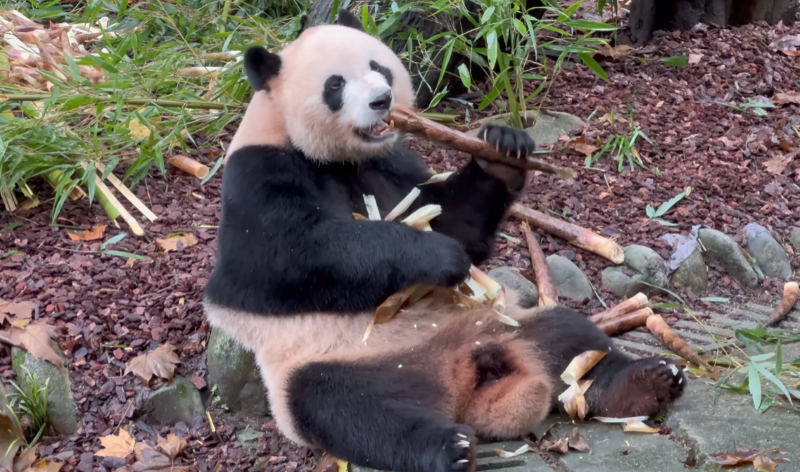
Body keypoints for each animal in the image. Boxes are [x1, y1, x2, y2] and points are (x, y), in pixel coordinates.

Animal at [203, 9, 685, 472]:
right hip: (341, 364)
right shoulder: (258, 174)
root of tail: (462, 382)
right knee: (350, 410)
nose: (382, 101)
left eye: (378, 67)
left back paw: (646, 382)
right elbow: (290, 259)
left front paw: (503, 150)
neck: (335, 156)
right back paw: (447, 447)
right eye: (335, 85)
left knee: (570, 338)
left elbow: (453, 218)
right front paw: (435, 256)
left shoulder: (391, 162)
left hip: (504, 323)